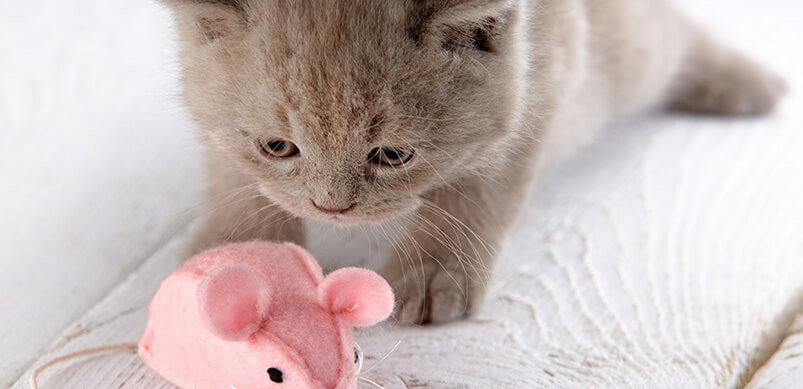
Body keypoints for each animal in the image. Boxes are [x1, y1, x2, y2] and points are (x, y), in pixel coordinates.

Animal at [162, 0, 784, 324]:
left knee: (673, 35)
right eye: (277, 147)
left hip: (628, 53)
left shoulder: (545, 77)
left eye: (392, 155)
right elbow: (232, 171)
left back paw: (746, 83)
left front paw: (435, 273)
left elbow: (477, 191)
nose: (331, 208)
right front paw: (240, 256)